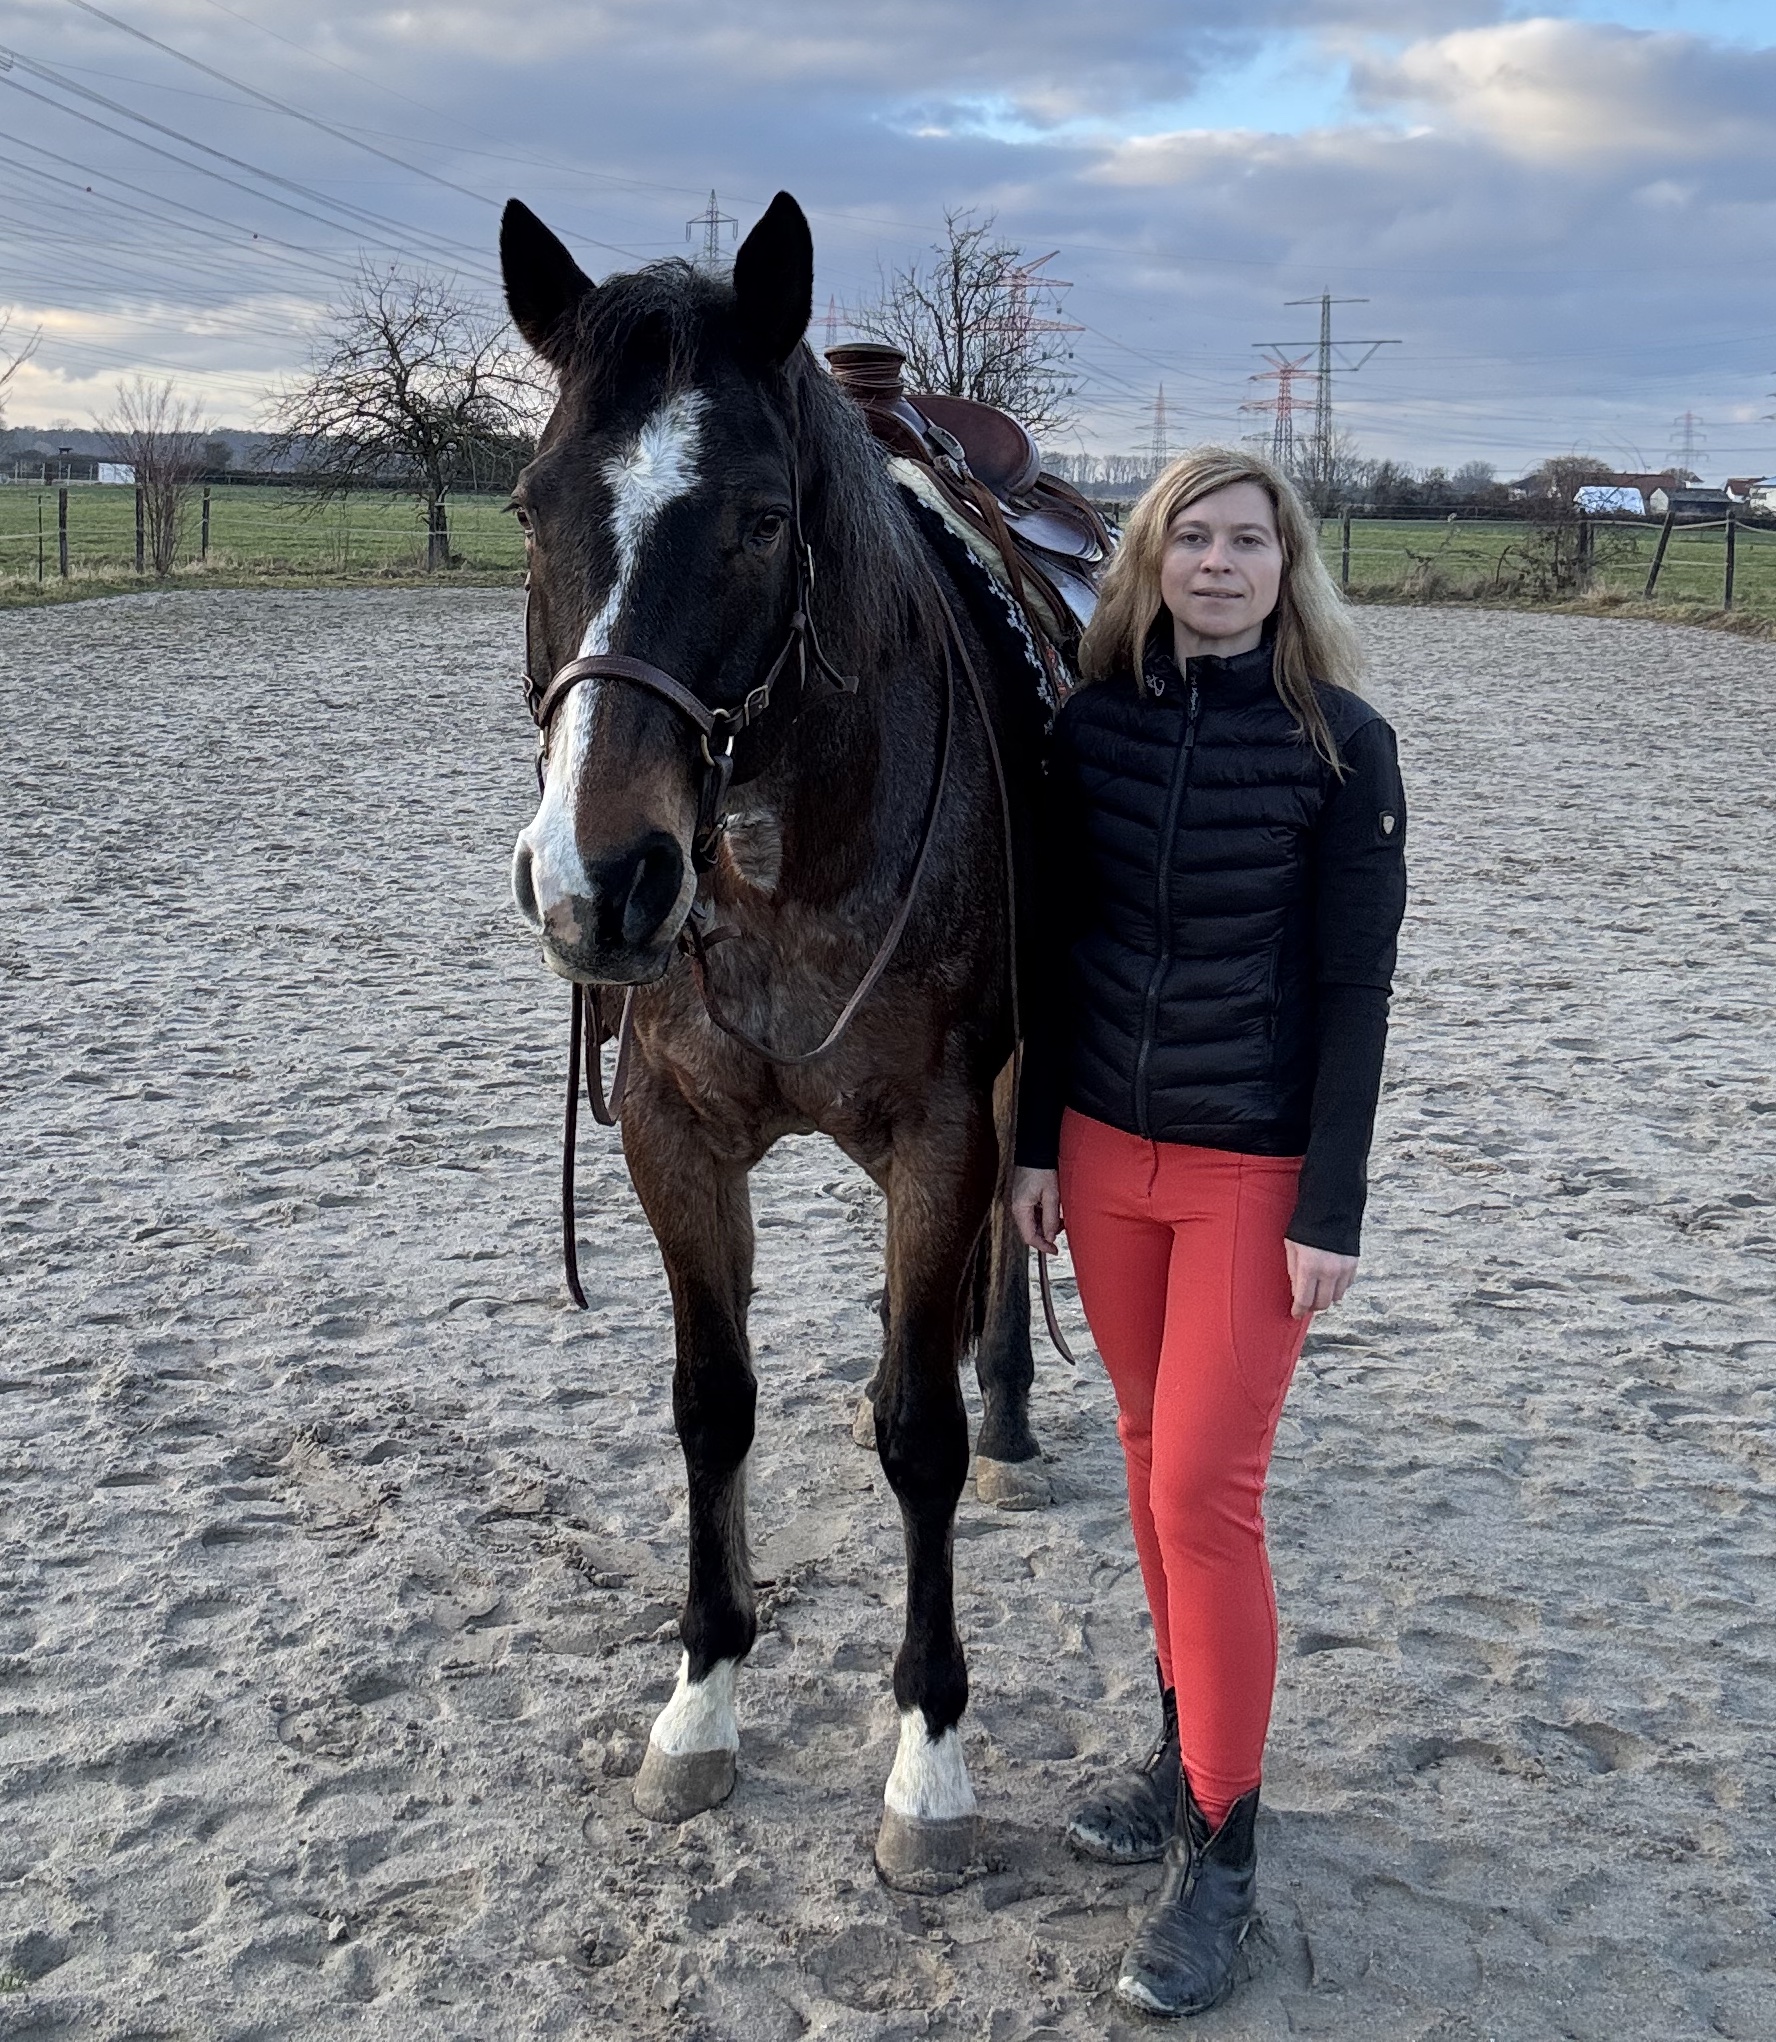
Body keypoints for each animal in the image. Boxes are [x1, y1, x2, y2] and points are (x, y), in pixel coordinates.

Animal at [500, 190, 1049, 1890]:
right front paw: (701, 1693)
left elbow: (917, 1430)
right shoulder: (672, 1134)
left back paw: (1017, 1413)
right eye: (529, 509)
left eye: (755, 519)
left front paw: (930, 1756)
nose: (600, 878)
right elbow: (711, 1404)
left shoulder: (942, 1128)